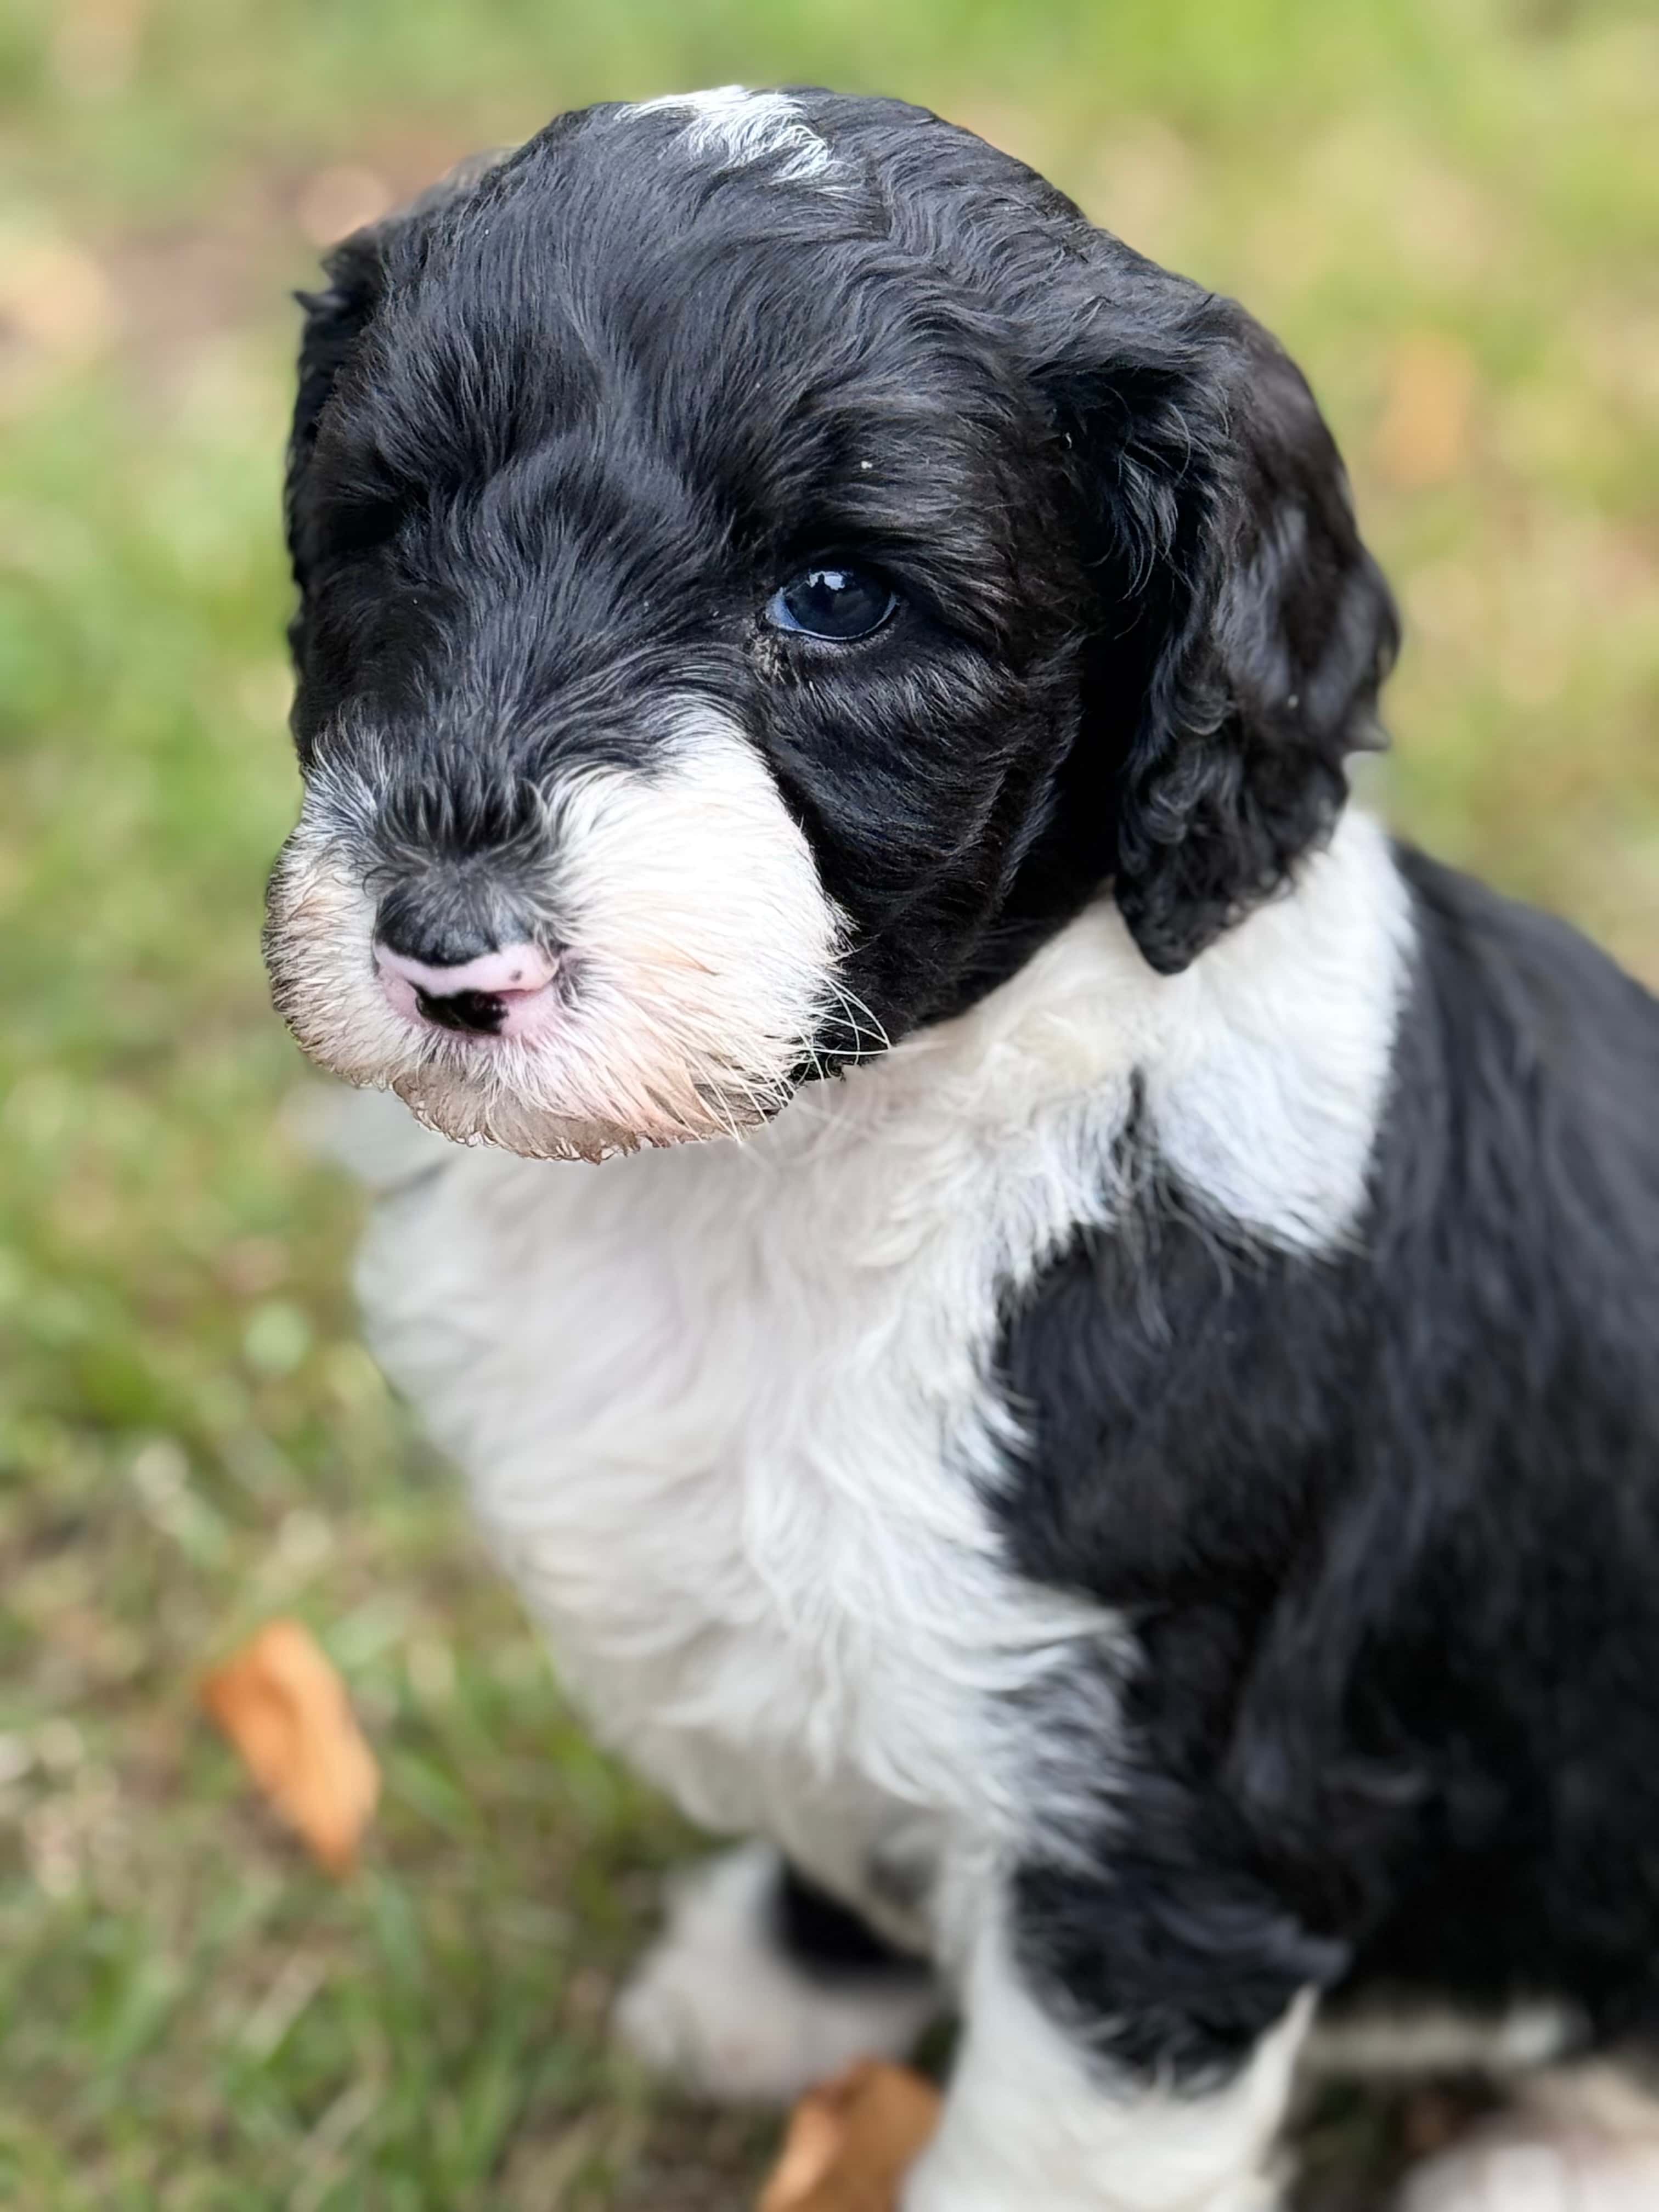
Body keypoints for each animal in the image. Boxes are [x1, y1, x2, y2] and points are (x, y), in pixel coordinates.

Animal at [266, 86, 1659, 2212]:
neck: (803, 1159)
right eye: (393, 522)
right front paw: (775, 1983)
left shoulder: (1166, 1843)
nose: (441, 941)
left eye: (838, 600)